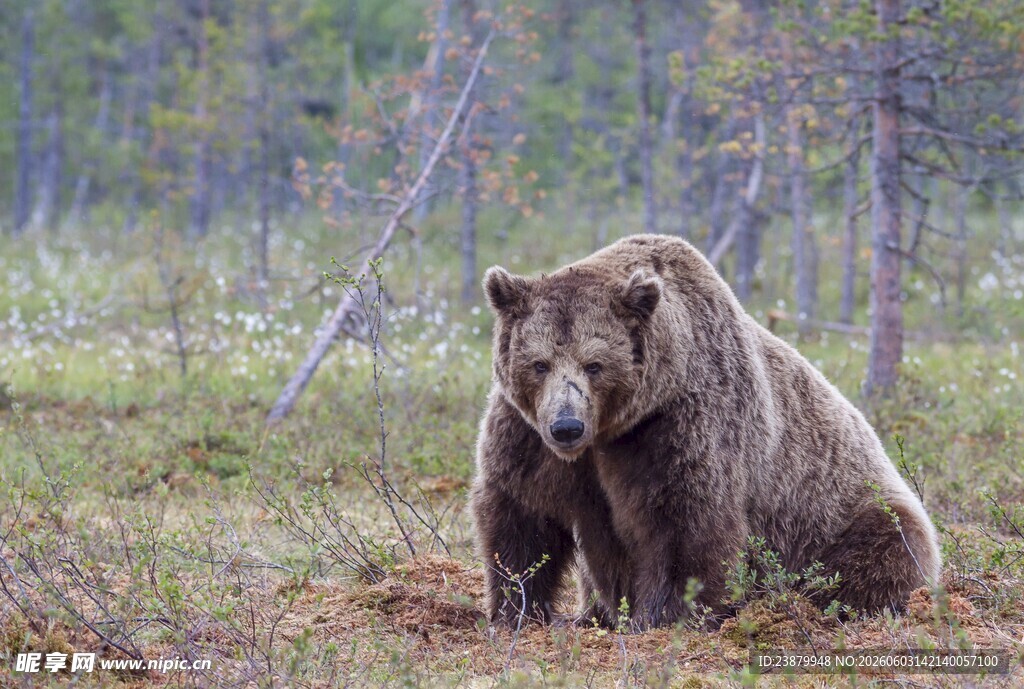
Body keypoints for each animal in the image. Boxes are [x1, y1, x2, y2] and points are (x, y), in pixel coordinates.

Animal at [470, 233, 941, 629]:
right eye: (540, 363)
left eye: (595, 364)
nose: (567, 426)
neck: (611, 430)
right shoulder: (529, 434)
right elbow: (522, 513)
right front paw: (516, 611)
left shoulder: (678, 423)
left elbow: (685, 522)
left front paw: (662, 616)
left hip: (842, 512)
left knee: (887, 544)